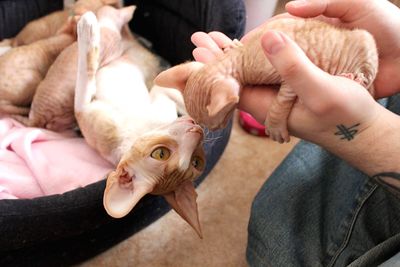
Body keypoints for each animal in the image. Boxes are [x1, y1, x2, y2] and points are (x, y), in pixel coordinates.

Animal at [75, 7, 206, 238]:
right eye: (161, 154)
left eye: (196, 161)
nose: (196, 129)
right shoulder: (84, 109)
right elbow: (168, 89)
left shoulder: (83, 107)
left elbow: (87, 69)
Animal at [154, 17, 378, 143]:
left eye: (215, 124)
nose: (202, 128)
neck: (243, 57)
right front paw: (232, 44)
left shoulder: (288, 72)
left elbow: (281, 102)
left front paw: (275, 126)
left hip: (366, 42)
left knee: (370, 80)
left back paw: (353, 78)